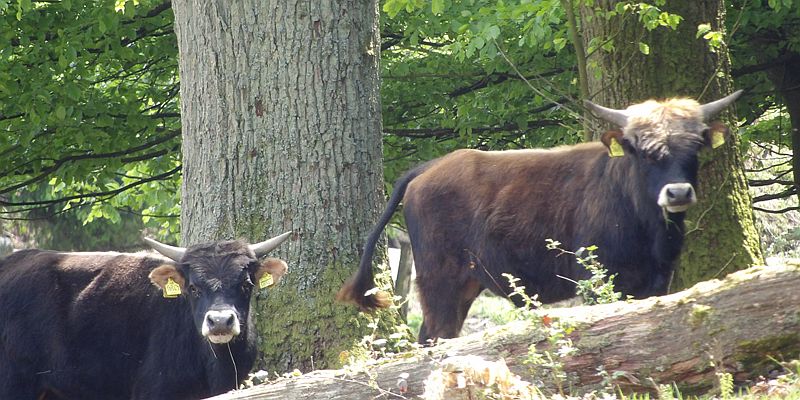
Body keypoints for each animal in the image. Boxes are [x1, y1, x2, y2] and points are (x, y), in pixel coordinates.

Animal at [338, 91, 744, 344]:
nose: (678, 192)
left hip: (465, 285)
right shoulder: (598, 281)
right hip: (439, 281)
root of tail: (430, 167)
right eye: (644, 151)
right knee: (436, 338)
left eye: (694, 147)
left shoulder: (655, 283)